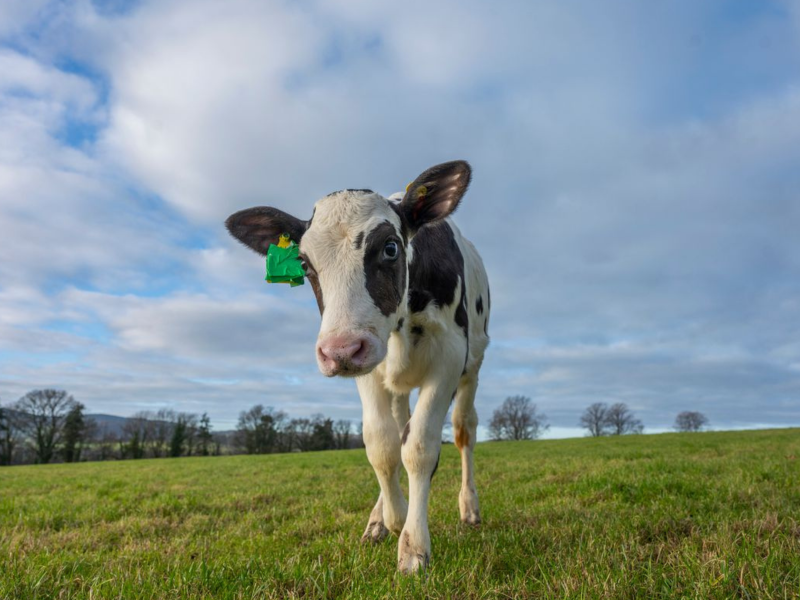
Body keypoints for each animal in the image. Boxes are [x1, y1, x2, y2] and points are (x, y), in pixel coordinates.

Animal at [223, 159, 488, 572]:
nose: (340, 350)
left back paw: (469, 507)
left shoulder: (448, 356)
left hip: (472, 367)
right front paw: (393, 519)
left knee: (464, 431)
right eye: (304, 263)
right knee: (396, 430)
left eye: (391, 248)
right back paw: (378, 519)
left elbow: (420, 447)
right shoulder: (369, 369)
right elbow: (381, 446)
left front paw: (413, 546)